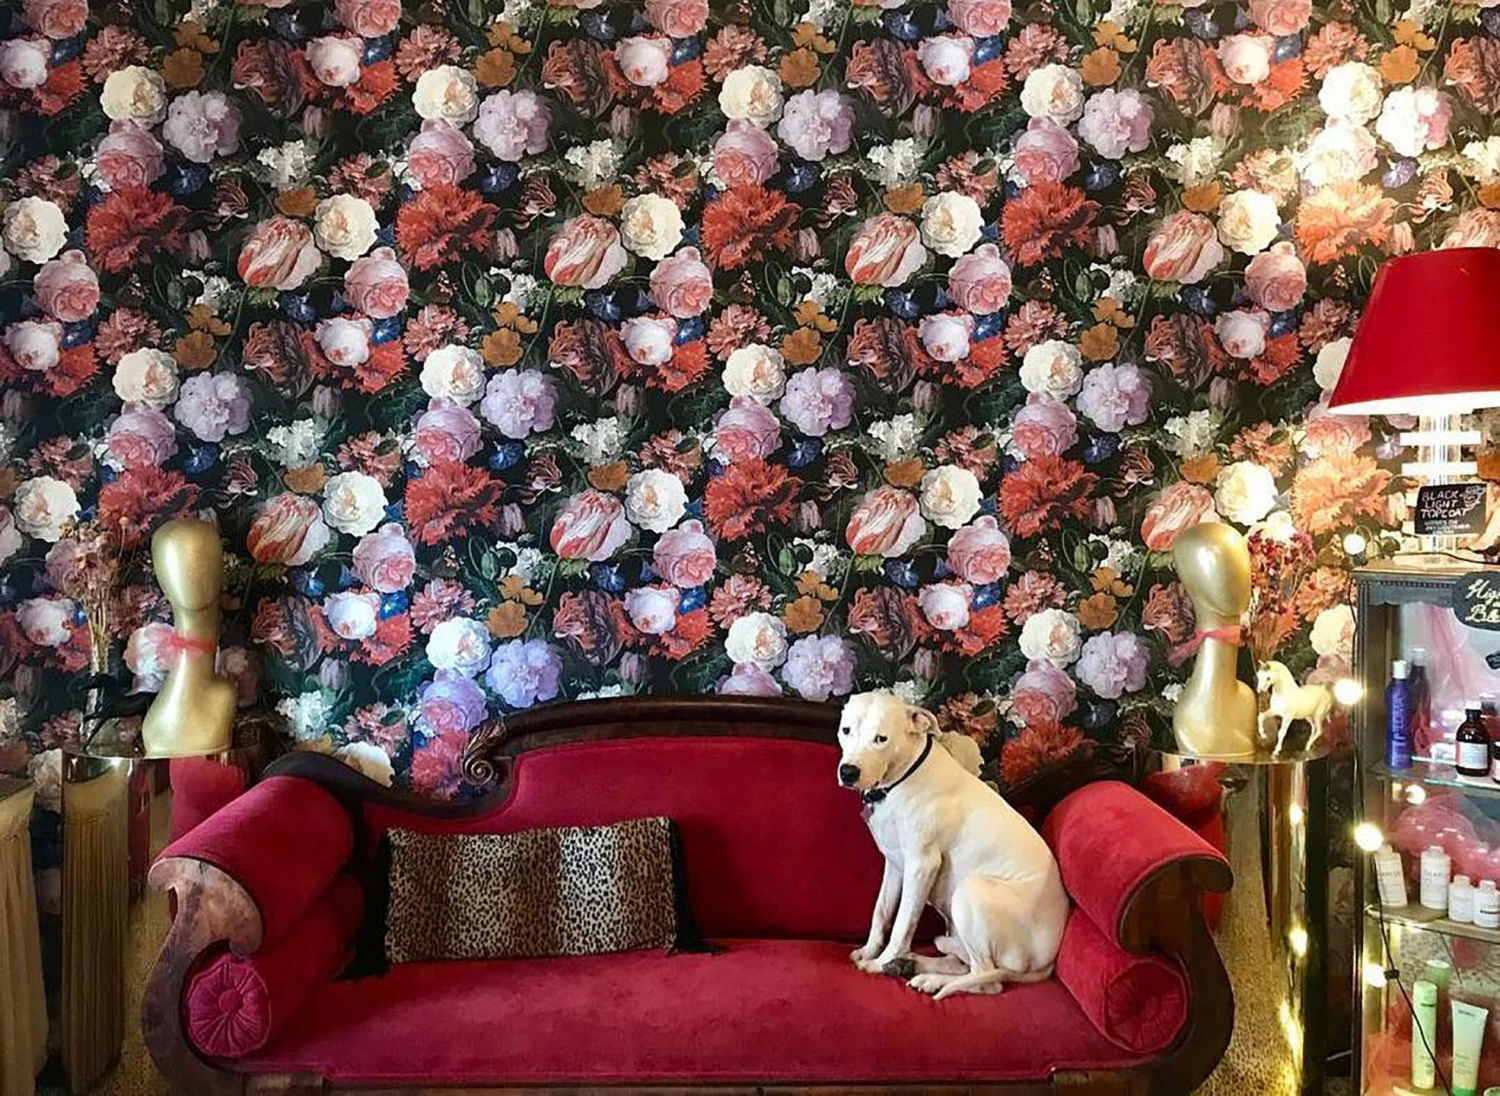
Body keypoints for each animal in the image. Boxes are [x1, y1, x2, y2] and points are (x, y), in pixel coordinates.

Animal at [838, 691, 1068, 999]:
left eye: (881, 738)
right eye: (846, 730)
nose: (848, 771)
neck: (903, 777)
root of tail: (1047, 963)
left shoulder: (921, 866)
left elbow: (902, 924)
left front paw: (880, 962)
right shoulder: (895, 865)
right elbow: (882, 912)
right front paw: (869, 951)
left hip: (972, 891)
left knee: (987, 979)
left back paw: (926, 977)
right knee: (964, 964)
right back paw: (913, 965)